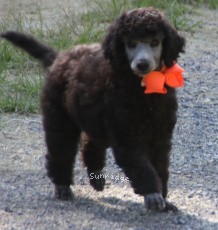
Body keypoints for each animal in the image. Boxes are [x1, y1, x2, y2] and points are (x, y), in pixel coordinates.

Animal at [1, 7, 186, 212]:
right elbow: (142, 167)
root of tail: (59, 57)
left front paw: (164, 198)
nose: (142, 64)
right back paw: (62, 186)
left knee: (91, 145)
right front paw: (153, 194)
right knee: (60, 150)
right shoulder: (127, 138)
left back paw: (96, 178)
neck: (143, 89)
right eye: (130, 44)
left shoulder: (160, 135)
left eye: (155, 42)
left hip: (96, 120)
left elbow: (160, 168)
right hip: (59, 118)